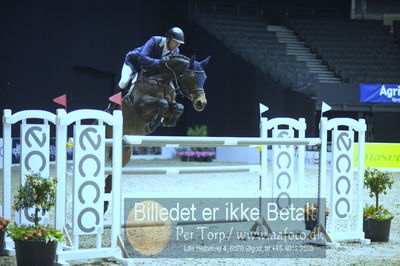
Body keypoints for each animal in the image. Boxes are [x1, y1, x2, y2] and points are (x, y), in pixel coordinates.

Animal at [104, 52, 211, 206]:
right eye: (191, 77)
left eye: (205, 78)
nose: (201, 103)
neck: (162, 80)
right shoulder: (140, 103)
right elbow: (163, 103)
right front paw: (151, 125)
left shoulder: (172, 102)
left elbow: (177, 106)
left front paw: (168, 121)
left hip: (124, 153)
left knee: (109, 181)